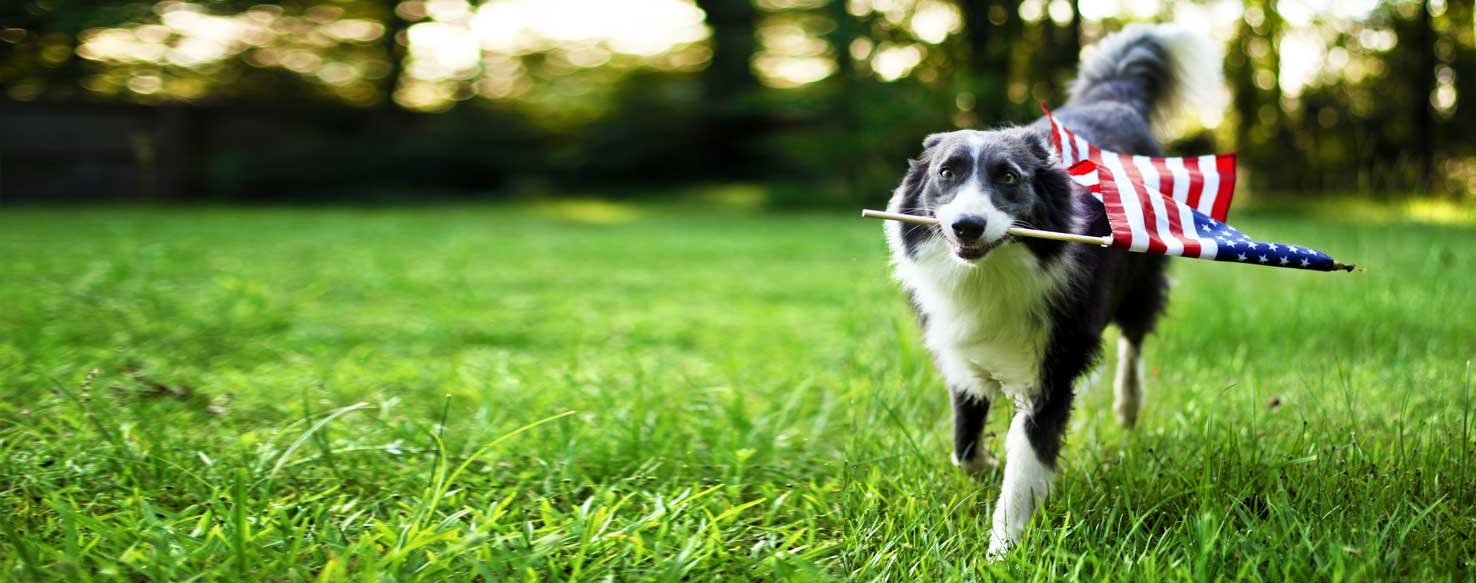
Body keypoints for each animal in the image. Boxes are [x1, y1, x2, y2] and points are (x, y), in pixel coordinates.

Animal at [885, 25, 1222, 557]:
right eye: (946, 173)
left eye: (1008, 177)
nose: (966, 226)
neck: (992, 271)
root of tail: (1113, 98)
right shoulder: (959, 347)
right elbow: (963, 444)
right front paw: (984, 466)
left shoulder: (1052, 366)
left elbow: (1026, 465)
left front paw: (1002, 552)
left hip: (1142, 278)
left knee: (1133, 340)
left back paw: (1128, 406)